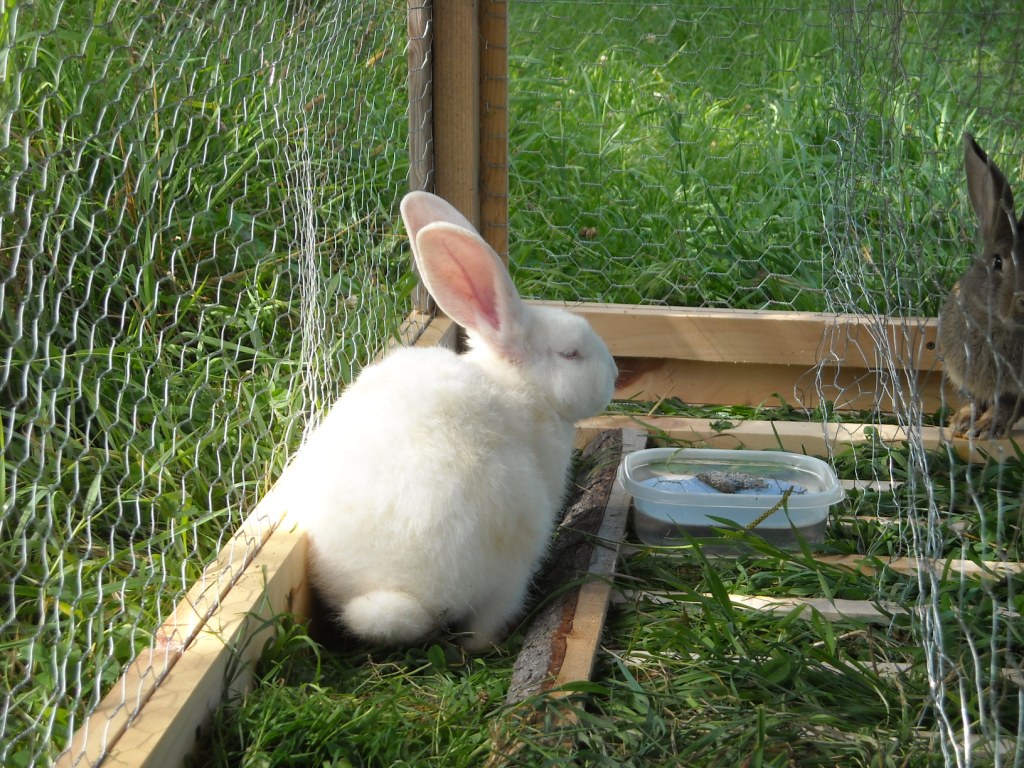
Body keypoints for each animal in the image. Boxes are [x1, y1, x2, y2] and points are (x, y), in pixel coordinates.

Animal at [280, 191, 618, 651]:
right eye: (571, 354)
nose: (615, 374)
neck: (518, 384)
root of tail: (398, 593)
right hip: (513, 556)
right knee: (486, 621)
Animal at [938, 133, 1024, 439]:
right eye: (997, 261)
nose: (1022, 300)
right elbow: (972, 399)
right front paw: (962, 421)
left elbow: (1007, 407)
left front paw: (988, 428)